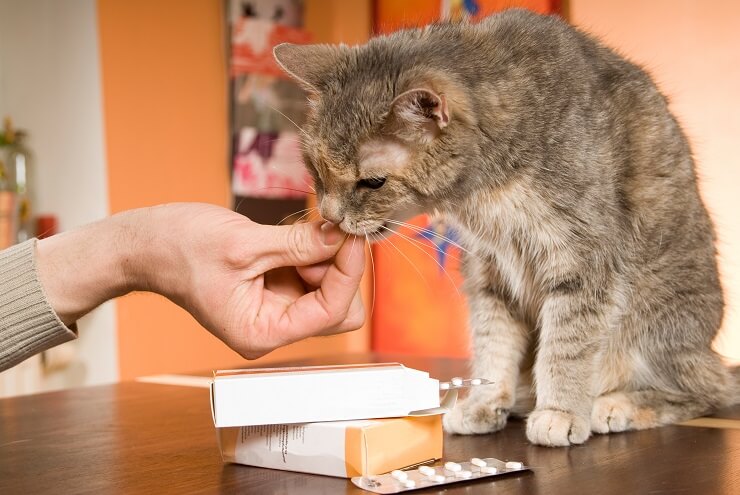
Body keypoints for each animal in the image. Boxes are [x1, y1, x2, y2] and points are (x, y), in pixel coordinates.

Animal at [274, 9, 740, 448]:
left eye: (372, 182)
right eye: (314, 168)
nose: (329, 217)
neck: (482, 196)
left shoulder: (583, 262)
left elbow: (565, 349)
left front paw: (560, 411)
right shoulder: (490, 272)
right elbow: (493, 345)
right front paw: (485, 401)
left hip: (655, 327)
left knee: (707, 390)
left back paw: (614, 405)